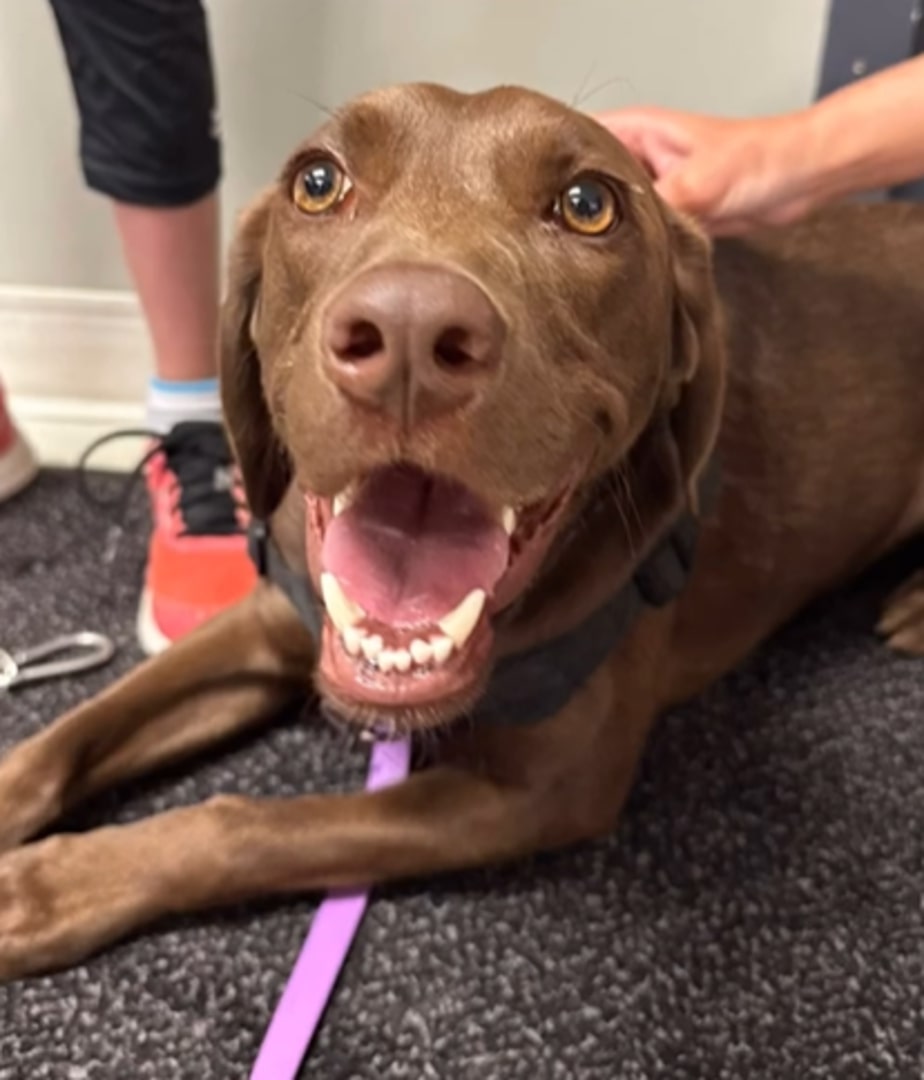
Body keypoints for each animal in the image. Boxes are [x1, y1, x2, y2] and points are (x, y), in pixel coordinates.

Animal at [1, 84, 924, 980]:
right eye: (318, 182)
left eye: (589, 204)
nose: (409, 332)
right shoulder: (267, 623)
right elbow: (74, 732)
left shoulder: (542, 794)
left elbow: (245, 826)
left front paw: (55, 886)